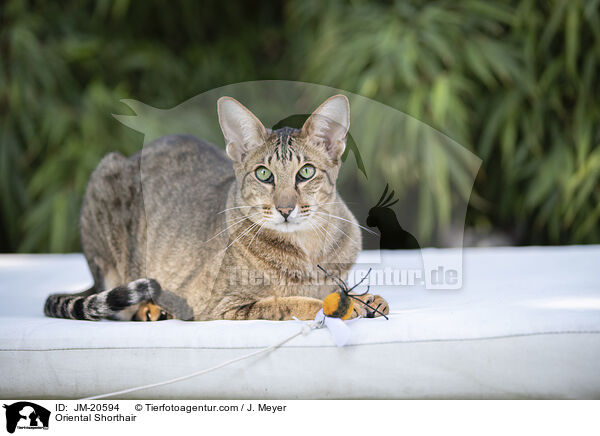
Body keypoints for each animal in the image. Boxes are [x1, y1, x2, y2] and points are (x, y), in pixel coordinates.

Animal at [43, 94, 390, 320]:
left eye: (305, 172)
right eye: (263, 174)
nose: (285, 209)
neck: (307, 251)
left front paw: (368, 298)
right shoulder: (223, 306)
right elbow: (290, 302)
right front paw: (341, 304)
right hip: (106, 179)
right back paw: (151, 309)